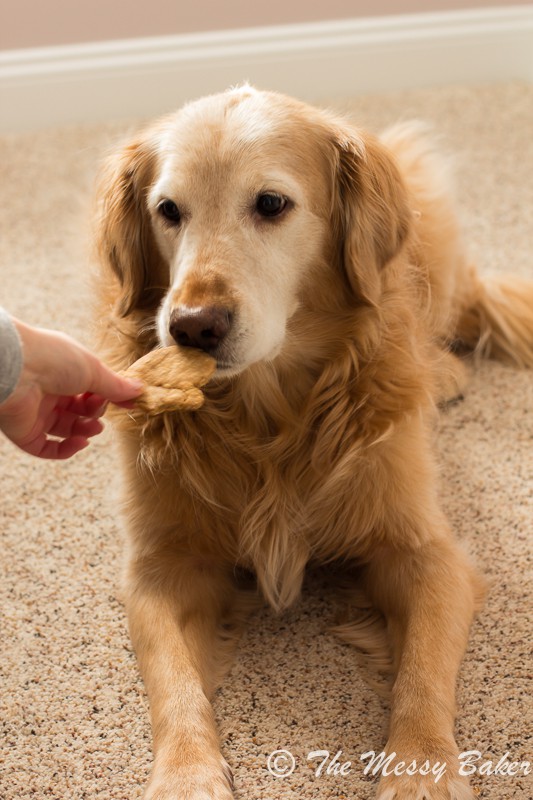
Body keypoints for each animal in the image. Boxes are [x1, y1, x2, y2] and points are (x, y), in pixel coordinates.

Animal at [95, 84, 532, 796]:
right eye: (168, 210)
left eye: (271, 204)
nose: (192, 327)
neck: (268, 417)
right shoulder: (163, 568)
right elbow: (174, 683)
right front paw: (186, 775)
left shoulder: (425, 554)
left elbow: (423, 672)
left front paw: (422, 768)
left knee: (463, 307)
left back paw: (442, 371)